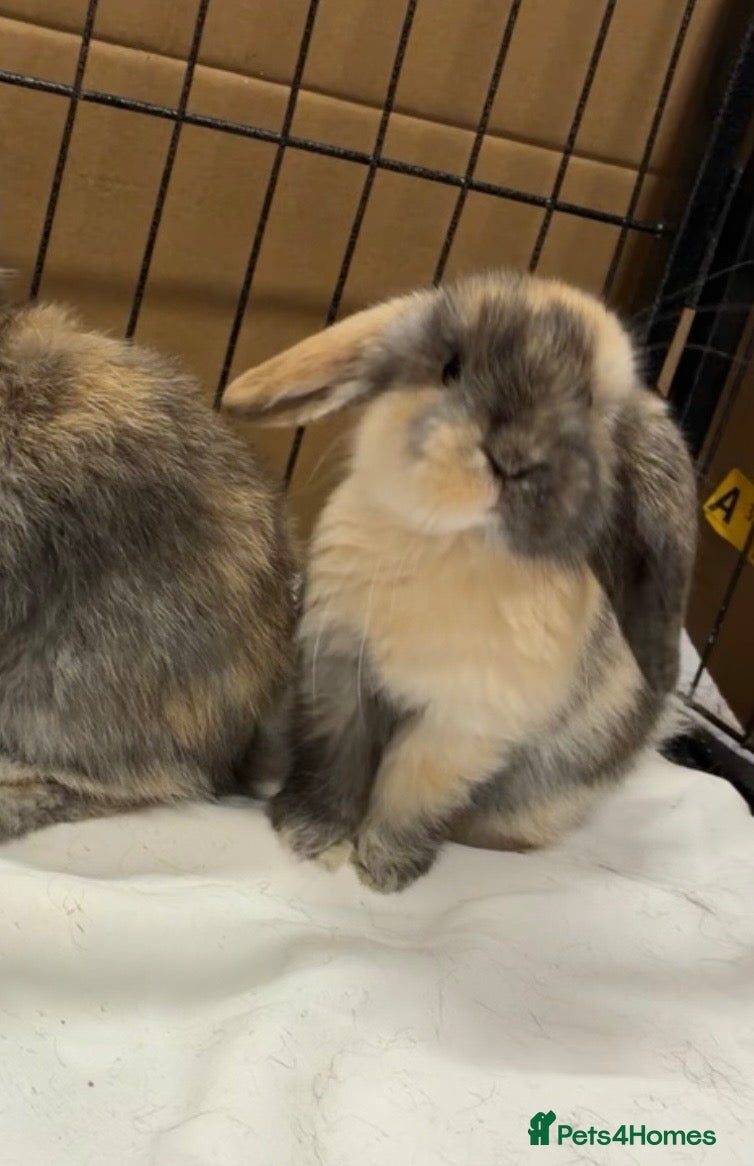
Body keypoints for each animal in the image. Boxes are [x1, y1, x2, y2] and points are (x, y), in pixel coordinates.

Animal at [220, 269, 701, 894]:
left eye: (590, 405)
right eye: (452, 369)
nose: (514, 459)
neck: (463, 543)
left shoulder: (464, 726)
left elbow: (412, 790)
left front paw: (384, 869)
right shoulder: (341, 673)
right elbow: (335, 761)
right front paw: (310, 837)